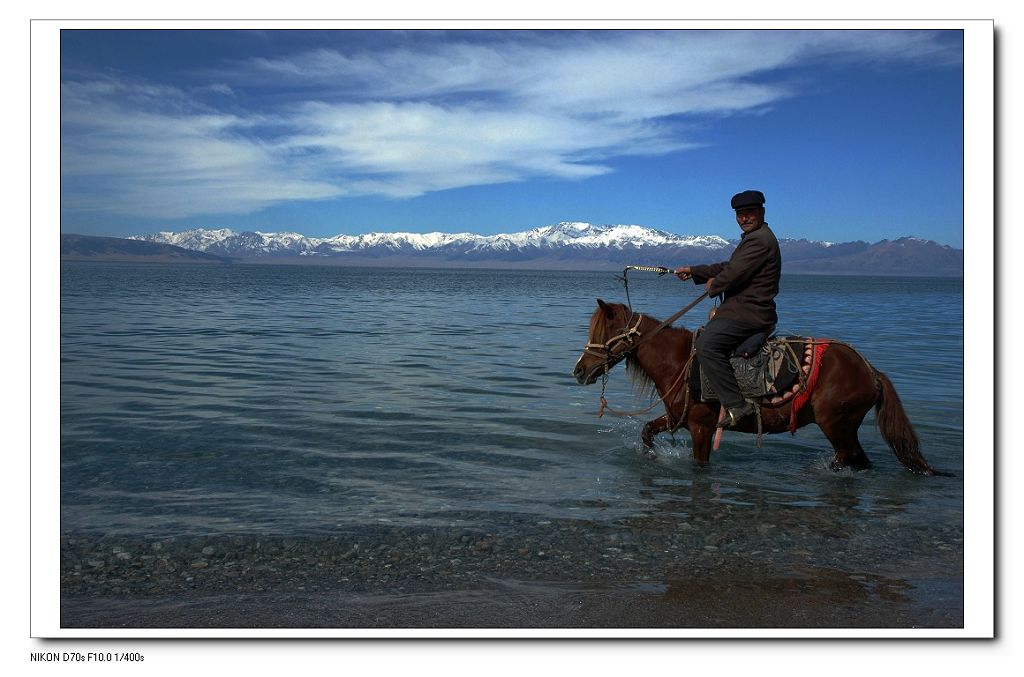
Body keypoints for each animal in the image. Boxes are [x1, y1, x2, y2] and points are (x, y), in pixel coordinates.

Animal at [573, 299, 937, 473]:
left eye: (605, 332)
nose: (579, 371)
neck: (678, 361)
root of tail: (870, 370)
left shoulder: (702, 427)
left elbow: (700, 465)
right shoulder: (678, 418)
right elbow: (647, 432)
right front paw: (651, 457)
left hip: (836, 424)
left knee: (846, 458)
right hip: (844, 426)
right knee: (858, 461)